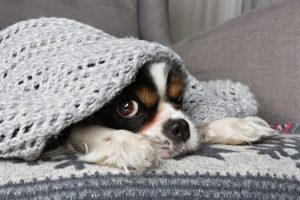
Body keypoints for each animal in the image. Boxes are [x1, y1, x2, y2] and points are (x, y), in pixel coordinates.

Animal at [43, 62, 276, 172]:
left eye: (179, 98)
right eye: (126, 107)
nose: (180, 127)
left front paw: (237, 125)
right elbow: (83, 129)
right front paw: (127, 143)